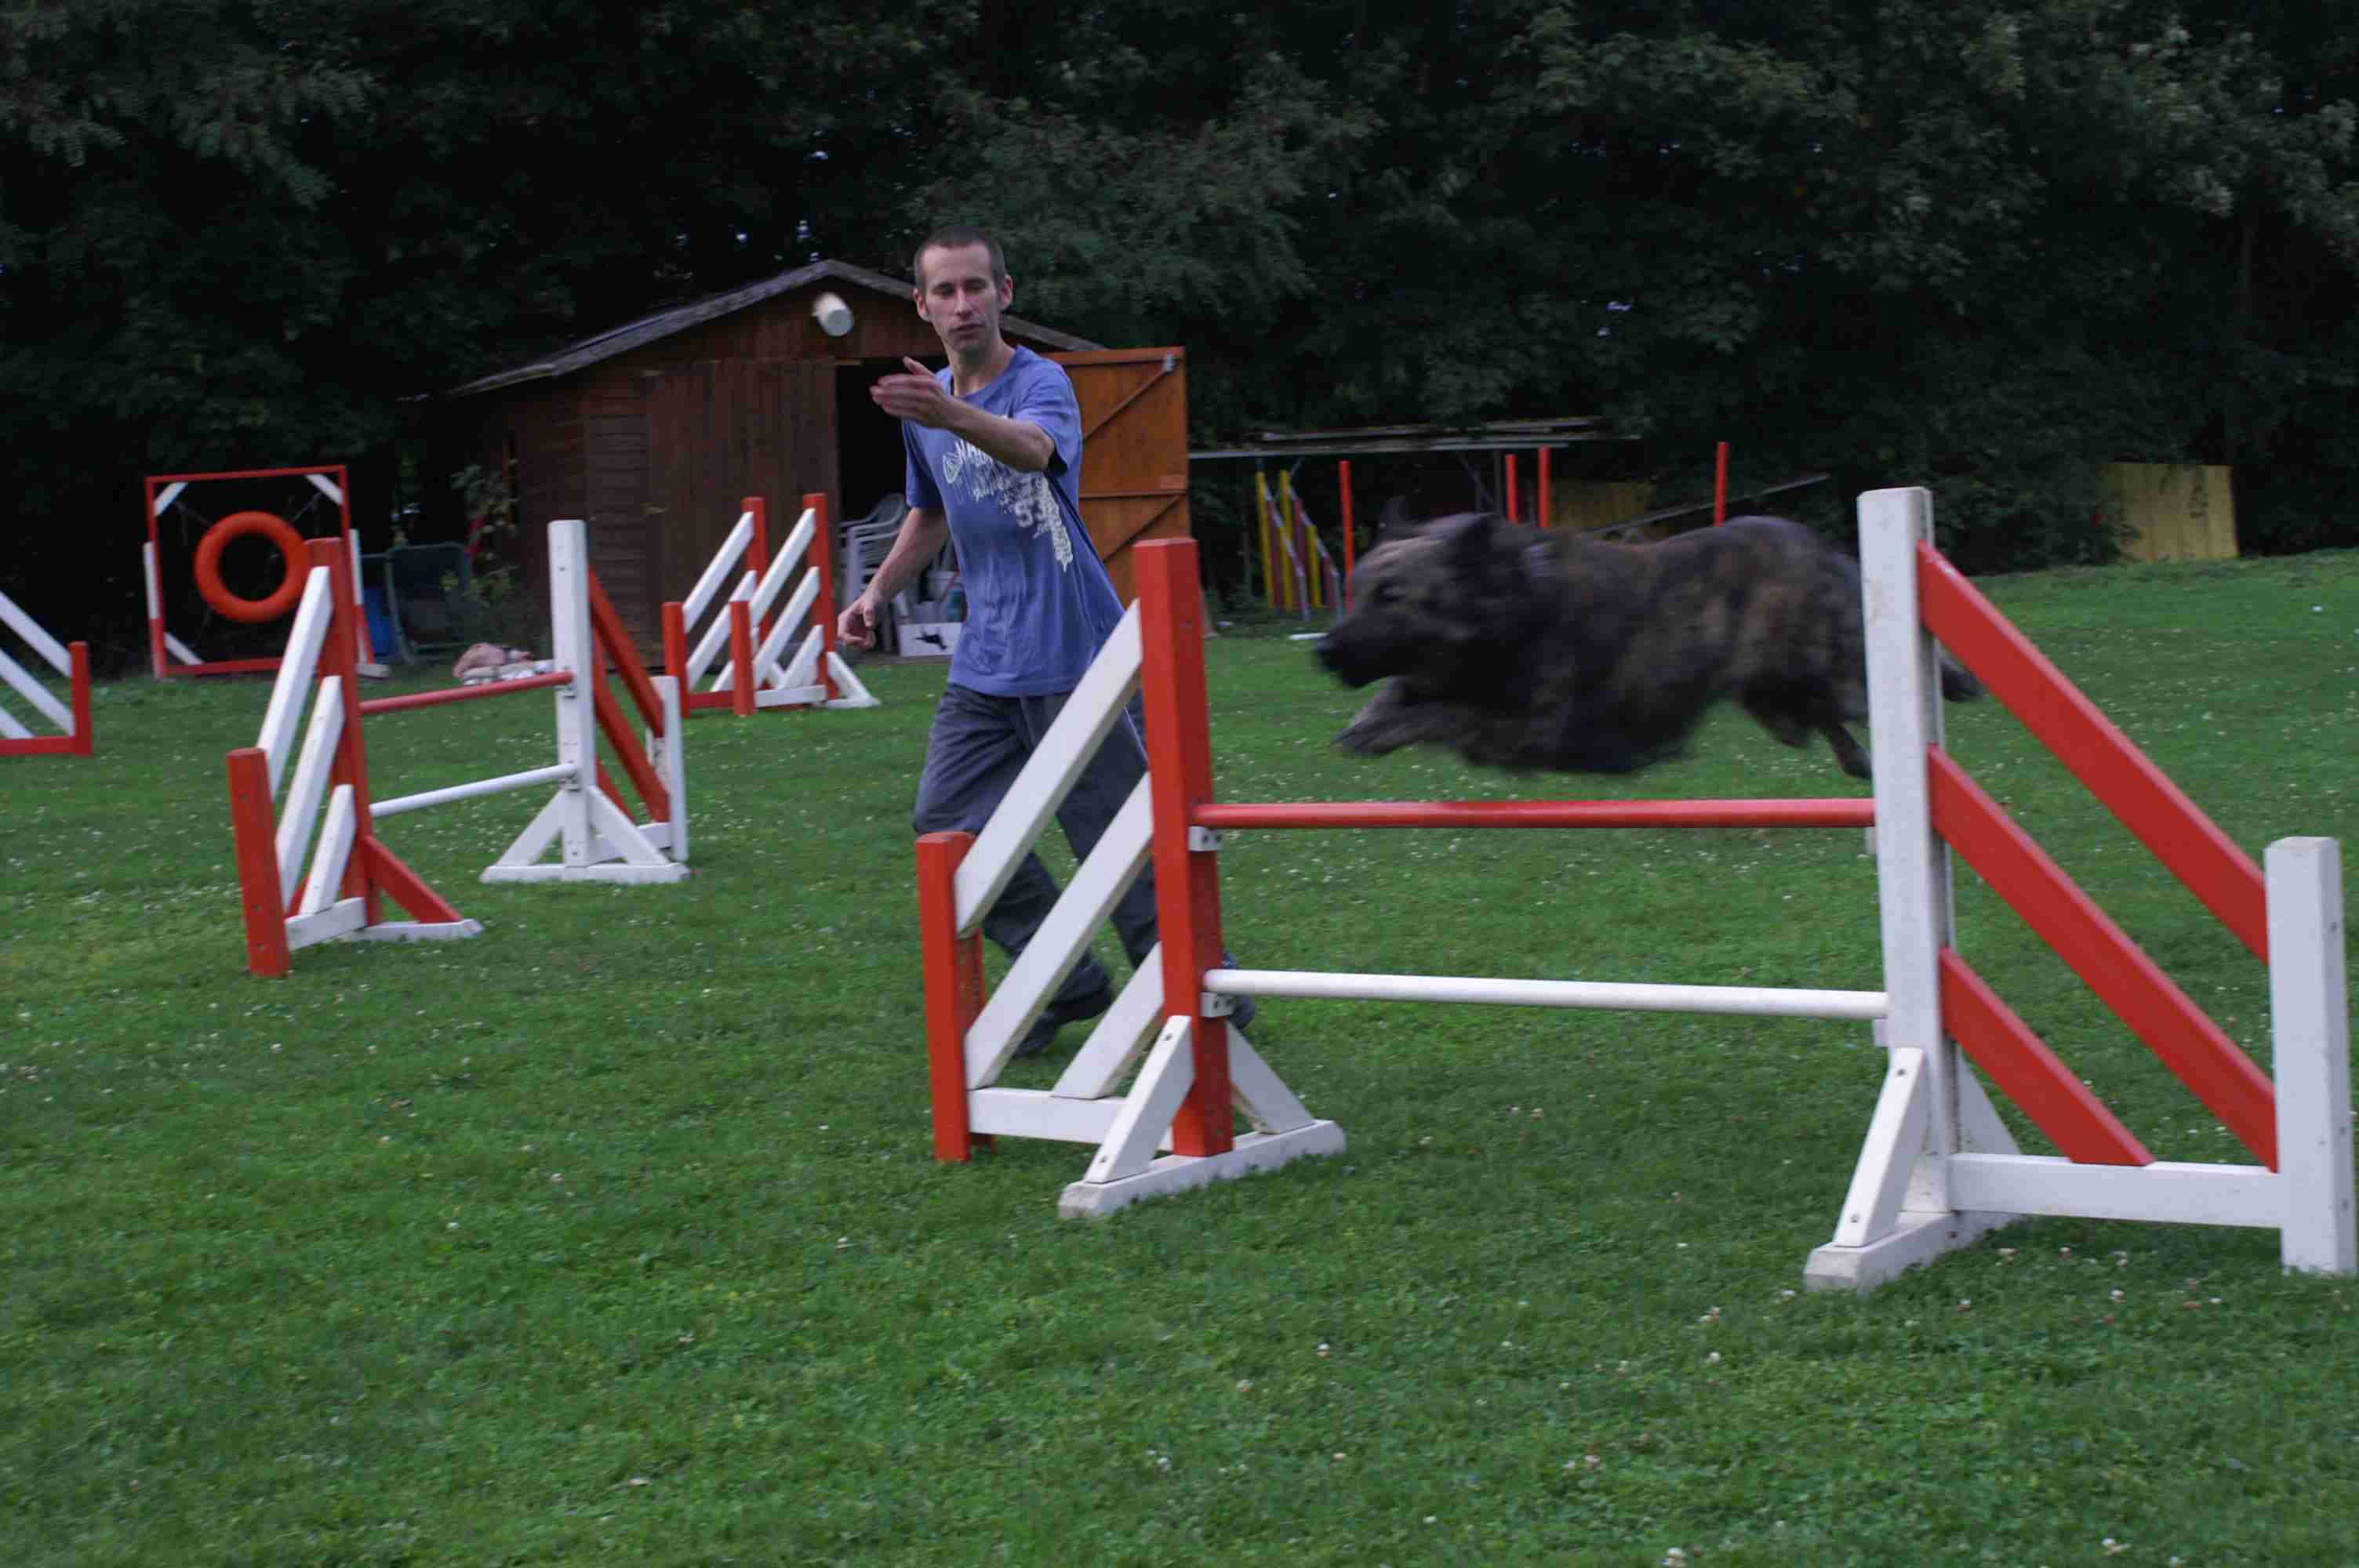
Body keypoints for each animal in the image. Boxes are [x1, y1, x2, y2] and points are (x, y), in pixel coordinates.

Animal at [1315, 509, 1980, 779]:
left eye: (1393, 597)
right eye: (1355, 589)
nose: (1322, 650)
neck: (1507, 608)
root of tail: (1813, 544)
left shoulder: (1536, 730)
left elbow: (1445, 712)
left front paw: (1382, 728)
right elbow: (1406, 693)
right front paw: (1367, 719)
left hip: (1834, 671)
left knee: (1868, 694)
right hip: (1773, 702)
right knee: (1819, 718)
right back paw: (1857, 761)